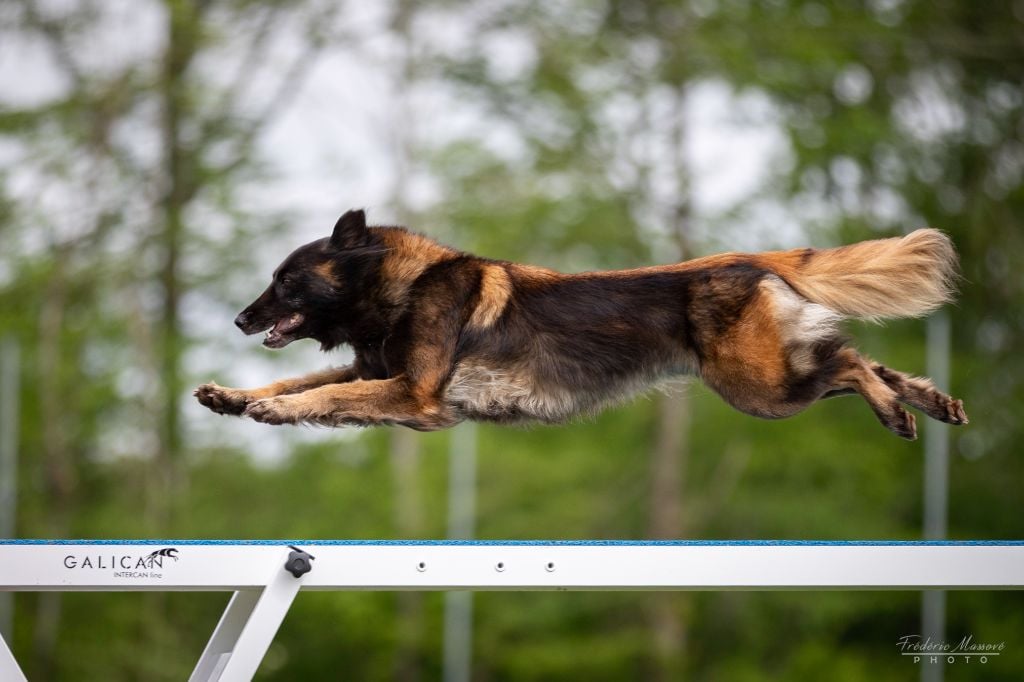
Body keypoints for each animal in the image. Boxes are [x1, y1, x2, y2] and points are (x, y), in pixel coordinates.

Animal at [193, 206, 966, 438]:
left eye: (285, 279)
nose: (237, 318)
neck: (403, 285)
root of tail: (748, 258)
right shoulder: (378, 372)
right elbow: (302, 382)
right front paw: (234, 397)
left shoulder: (412, 394)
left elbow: (322, 392)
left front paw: (265, 409)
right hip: (774, 372)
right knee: (861, 357)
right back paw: (931, 401)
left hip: (760, 388)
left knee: (850, 362)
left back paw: (897, 413)